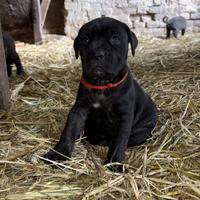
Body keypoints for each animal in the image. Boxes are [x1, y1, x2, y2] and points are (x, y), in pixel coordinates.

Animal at [44, 16, 158, 170]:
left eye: (115, 38)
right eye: (85, 39)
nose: (96, 54)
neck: (103, 84)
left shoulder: (124, 116)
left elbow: (119, 141)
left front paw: (115, 163)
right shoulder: (79, 109)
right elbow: (69, 130)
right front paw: (59, 154)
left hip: (142, 130)